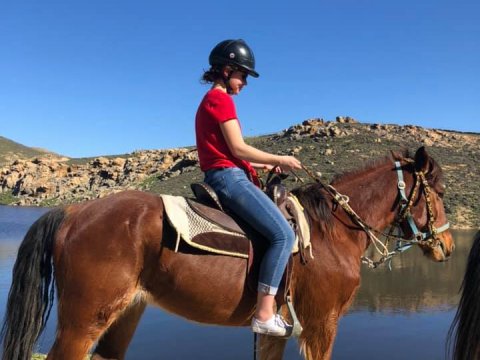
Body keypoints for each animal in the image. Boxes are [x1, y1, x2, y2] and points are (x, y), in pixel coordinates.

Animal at [1, 145, 456, 358]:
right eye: (439, 193)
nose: (449, 247)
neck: (332, 234)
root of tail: (75, 210)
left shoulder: (280, 332)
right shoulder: (321, 325)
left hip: (125, 311)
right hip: (83, 320)